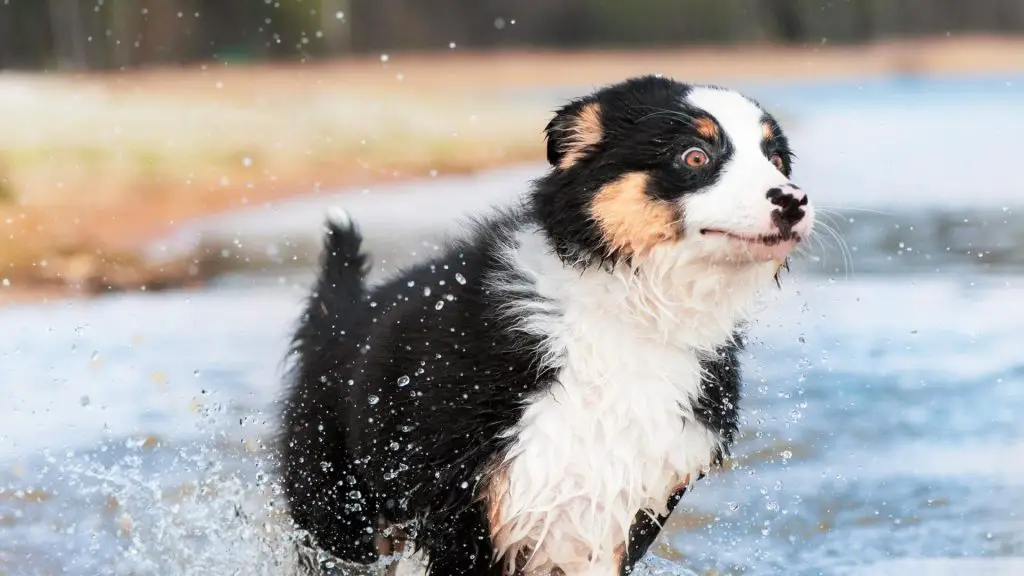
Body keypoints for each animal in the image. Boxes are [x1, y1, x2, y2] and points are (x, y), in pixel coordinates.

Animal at [278, 76, 815, 573]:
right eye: (695, 156)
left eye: (776, 160)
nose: (794, 201)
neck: (628, 317)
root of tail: (343, 312)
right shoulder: (465, 505)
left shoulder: (619, 509)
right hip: (337, 510)